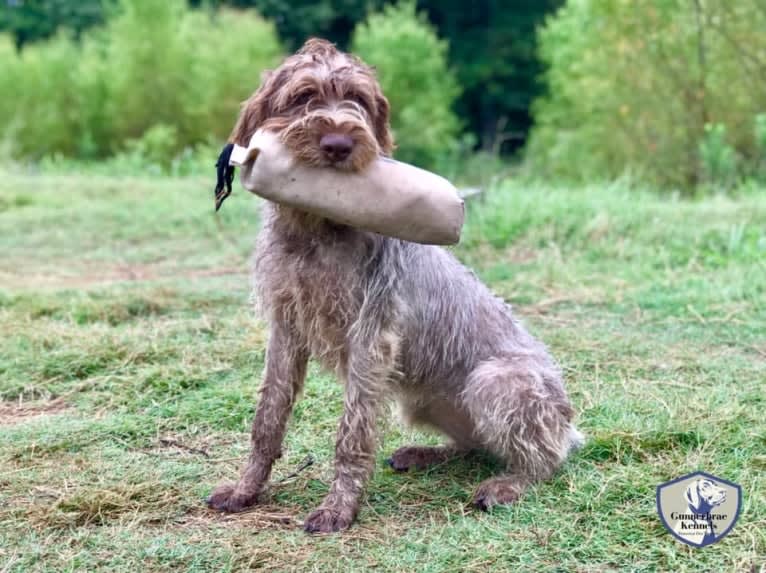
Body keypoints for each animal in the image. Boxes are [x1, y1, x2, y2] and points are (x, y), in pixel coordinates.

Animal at [207, 39, 584, 532]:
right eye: (304, 96)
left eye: (358, 99)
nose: (339, 144)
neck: (317, 229)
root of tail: (569, 425)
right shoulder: (286, 326)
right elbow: (268, 415)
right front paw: (247, 488)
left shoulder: (371, 335)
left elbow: (353, 432)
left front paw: (339, 508)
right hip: (424, 403)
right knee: (474, 447)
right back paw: (426, 454)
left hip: (495, 381)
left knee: (545, 459)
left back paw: (508, 484)